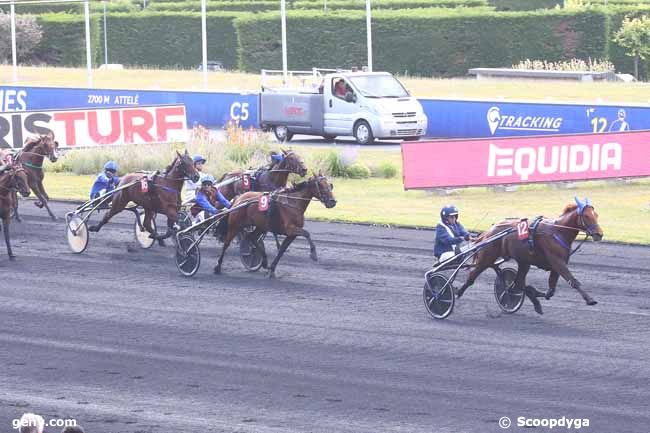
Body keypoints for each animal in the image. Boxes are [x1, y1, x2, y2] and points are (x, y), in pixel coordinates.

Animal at [456, 197, 604, 314]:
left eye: (596, 215)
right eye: (586, 216)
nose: (599, 234)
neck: (558, 231)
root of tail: (489, 231)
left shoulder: (557, 264)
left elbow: (551, 291)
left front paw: (536, 294)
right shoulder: (557, 262)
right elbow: (572, 281)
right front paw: (590, 299)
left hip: (523, 261)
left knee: (519, 282)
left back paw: (532, 300)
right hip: (487, 257)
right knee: (472, 276)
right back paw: (457, 293)